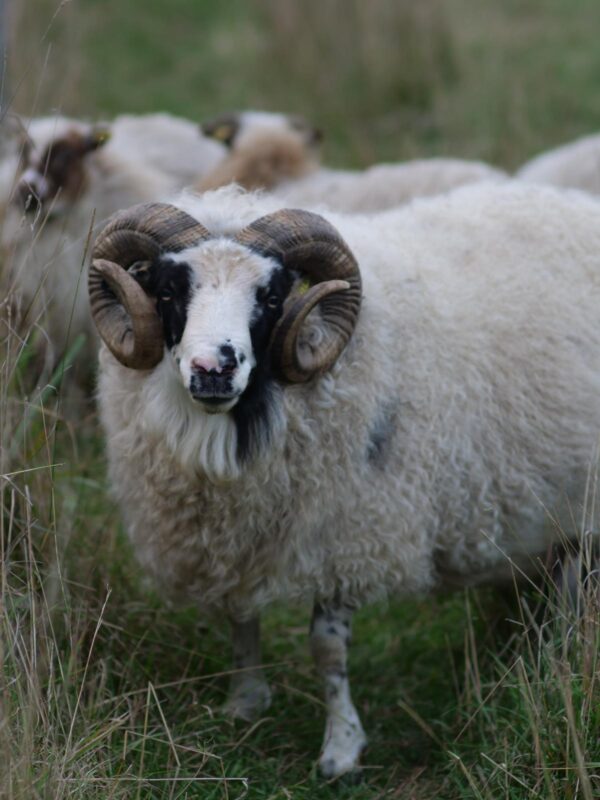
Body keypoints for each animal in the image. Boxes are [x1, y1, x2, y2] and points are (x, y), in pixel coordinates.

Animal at [88, 181, 600, 778]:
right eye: (169, 289)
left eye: (271, 297)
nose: (213, 370)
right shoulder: (237, 536)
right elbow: (242, 617)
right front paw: (245, 702)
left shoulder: (347, 532)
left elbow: (327, 649)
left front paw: (341, 747)